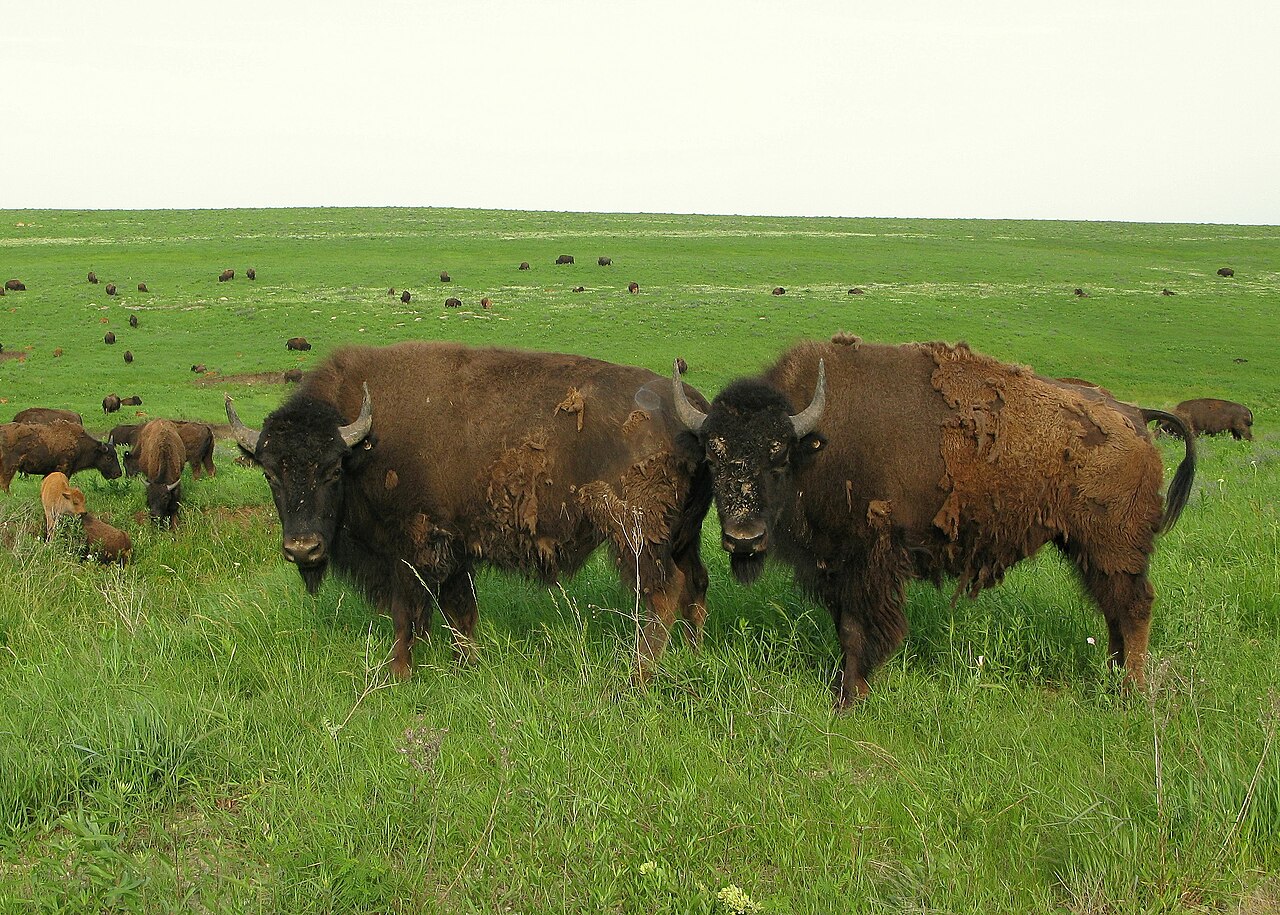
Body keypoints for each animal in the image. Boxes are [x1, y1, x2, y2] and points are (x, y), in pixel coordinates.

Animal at [225, 341, 712, 680]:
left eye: (330, 471)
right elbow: (460, 612)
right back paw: (693, 654)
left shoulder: (412, 551)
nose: (302, 548)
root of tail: (693, 410)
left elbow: (408, 613)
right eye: (270, 473)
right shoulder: (455, 551)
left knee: (663, 592)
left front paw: (398, 674)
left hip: (636, 535)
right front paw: (467, 666)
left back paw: (638, 676)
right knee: (695, 584)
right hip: (681, 535)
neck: (364, 445)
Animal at [672, 336, 1195, 706]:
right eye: (713, 459)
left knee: (1133, 608)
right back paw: (1114, 681)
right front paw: (845, 689)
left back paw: (1130, 693)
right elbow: (845, 626)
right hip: (1090, 551)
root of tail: (1133, 415)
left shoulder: (868, 563)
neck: (817, 443)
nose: (743, 538)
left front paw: (850, 698)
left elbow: (858, 630)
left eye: (778, 456)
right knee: (1114, 611)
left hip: (1113, 547)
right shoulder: (836, 568)